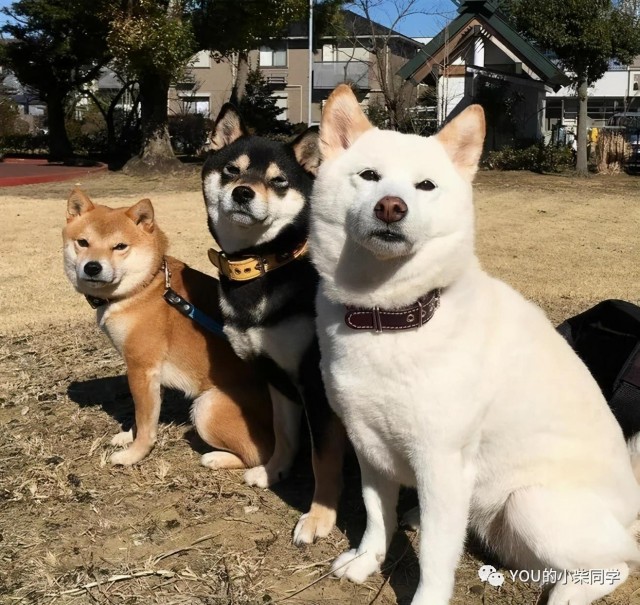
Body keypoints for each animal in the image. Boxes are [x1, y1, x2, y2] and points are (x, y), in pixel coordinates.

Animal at [204, 106, 344, 544]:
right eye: (232, 170)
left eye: (278, 180)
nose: (243, 193)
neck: (261, 266)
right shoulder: (276, 376)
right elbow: (284, 432)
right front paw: (273, 470)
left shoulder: (316, 384)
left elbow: (323, 457)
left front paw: (319, 517)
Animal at [310, 85, 640, 604]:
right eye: (369, 176)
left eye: (425, 186)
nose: (391, 206)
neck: (391, 318)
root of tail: (633, 507)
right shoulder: (368, 444)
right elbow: (375, 516)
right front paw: (367, 561)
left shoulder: (442, 463)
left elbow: (434, 558)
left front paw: (425, 598)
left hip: (530, 503)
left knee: (619, 563)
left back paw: (568, 594)